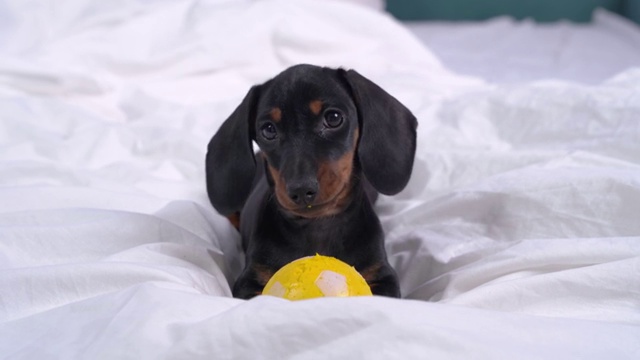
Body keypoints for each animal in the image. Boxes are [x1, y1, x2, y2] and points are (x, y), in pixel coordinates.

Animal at [204, 64, 416, 298]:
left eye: (333, 118)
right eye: (268, 129)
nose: (301, 189)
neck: (317, 226)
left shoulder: (382, 275)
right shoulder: (249, 280)